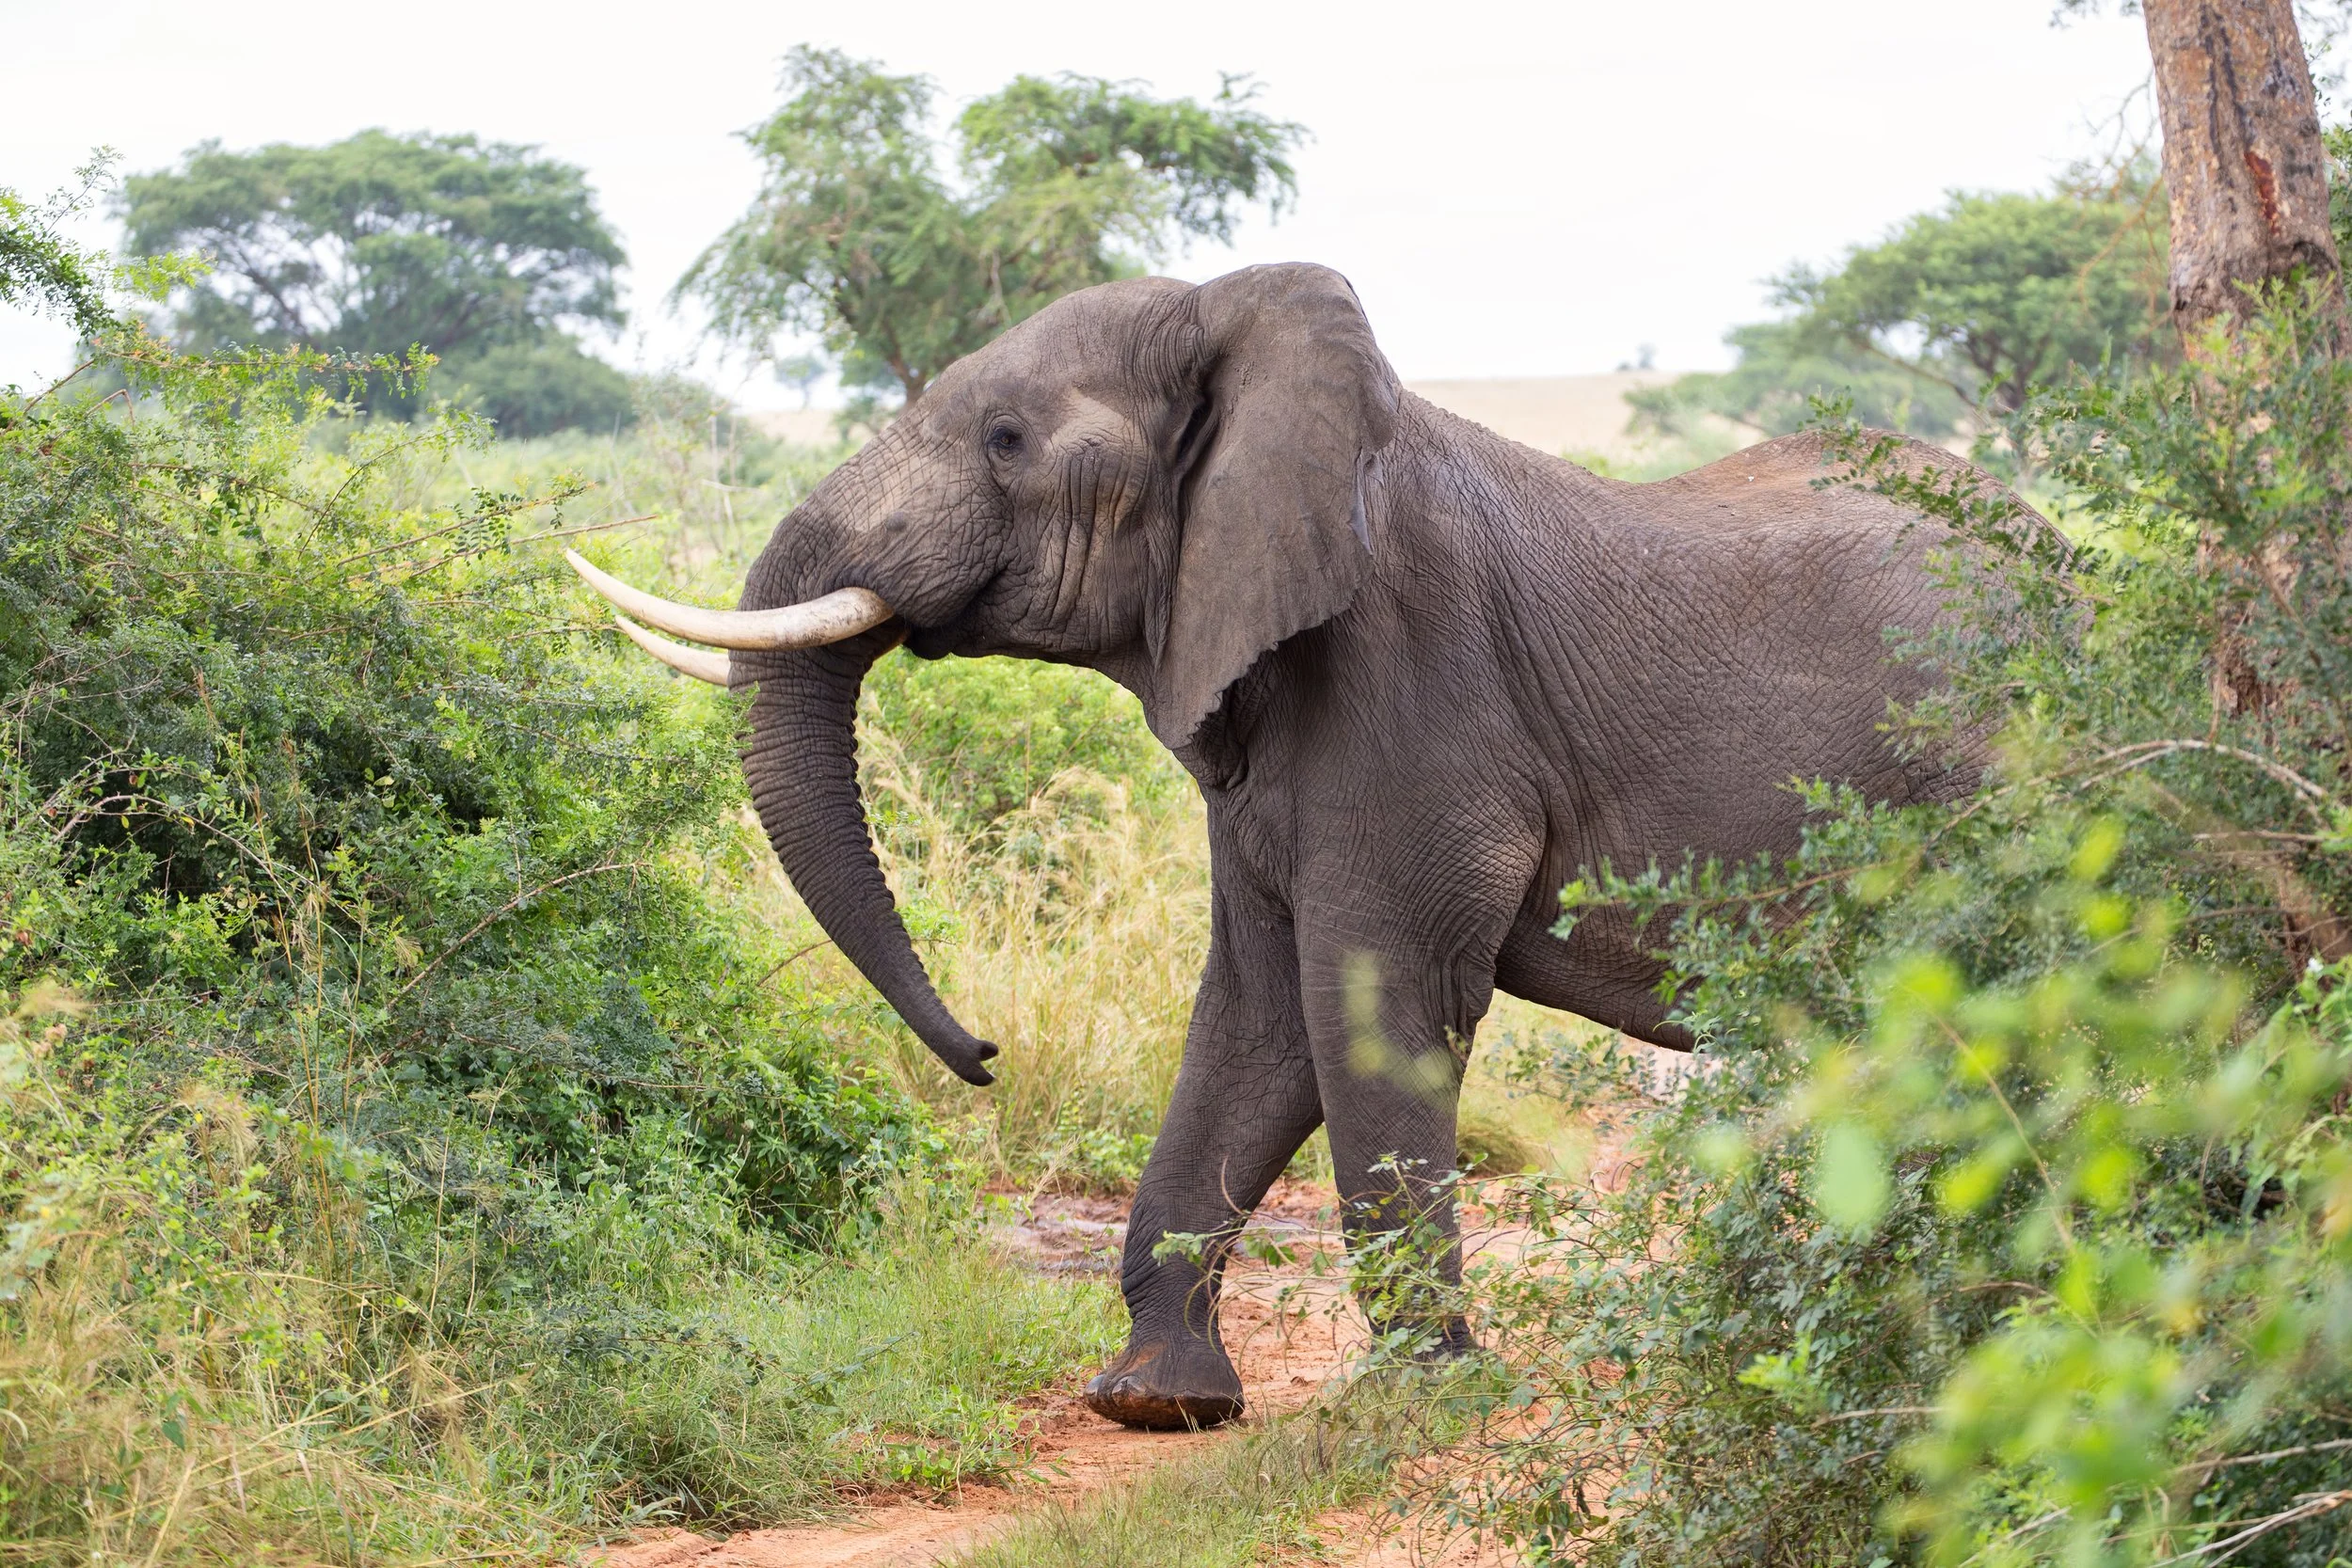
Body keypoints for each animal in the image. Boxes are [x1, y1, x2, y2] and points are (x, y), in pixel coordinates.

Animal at [572, 262, 1984, 1431]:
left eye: (1007, 438)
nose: (983, 1053)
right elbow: (1256, 1015)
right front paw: (1156, 1399)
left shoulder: (1409, 677)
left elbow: (1369, 998)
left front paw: (1418, 1409)